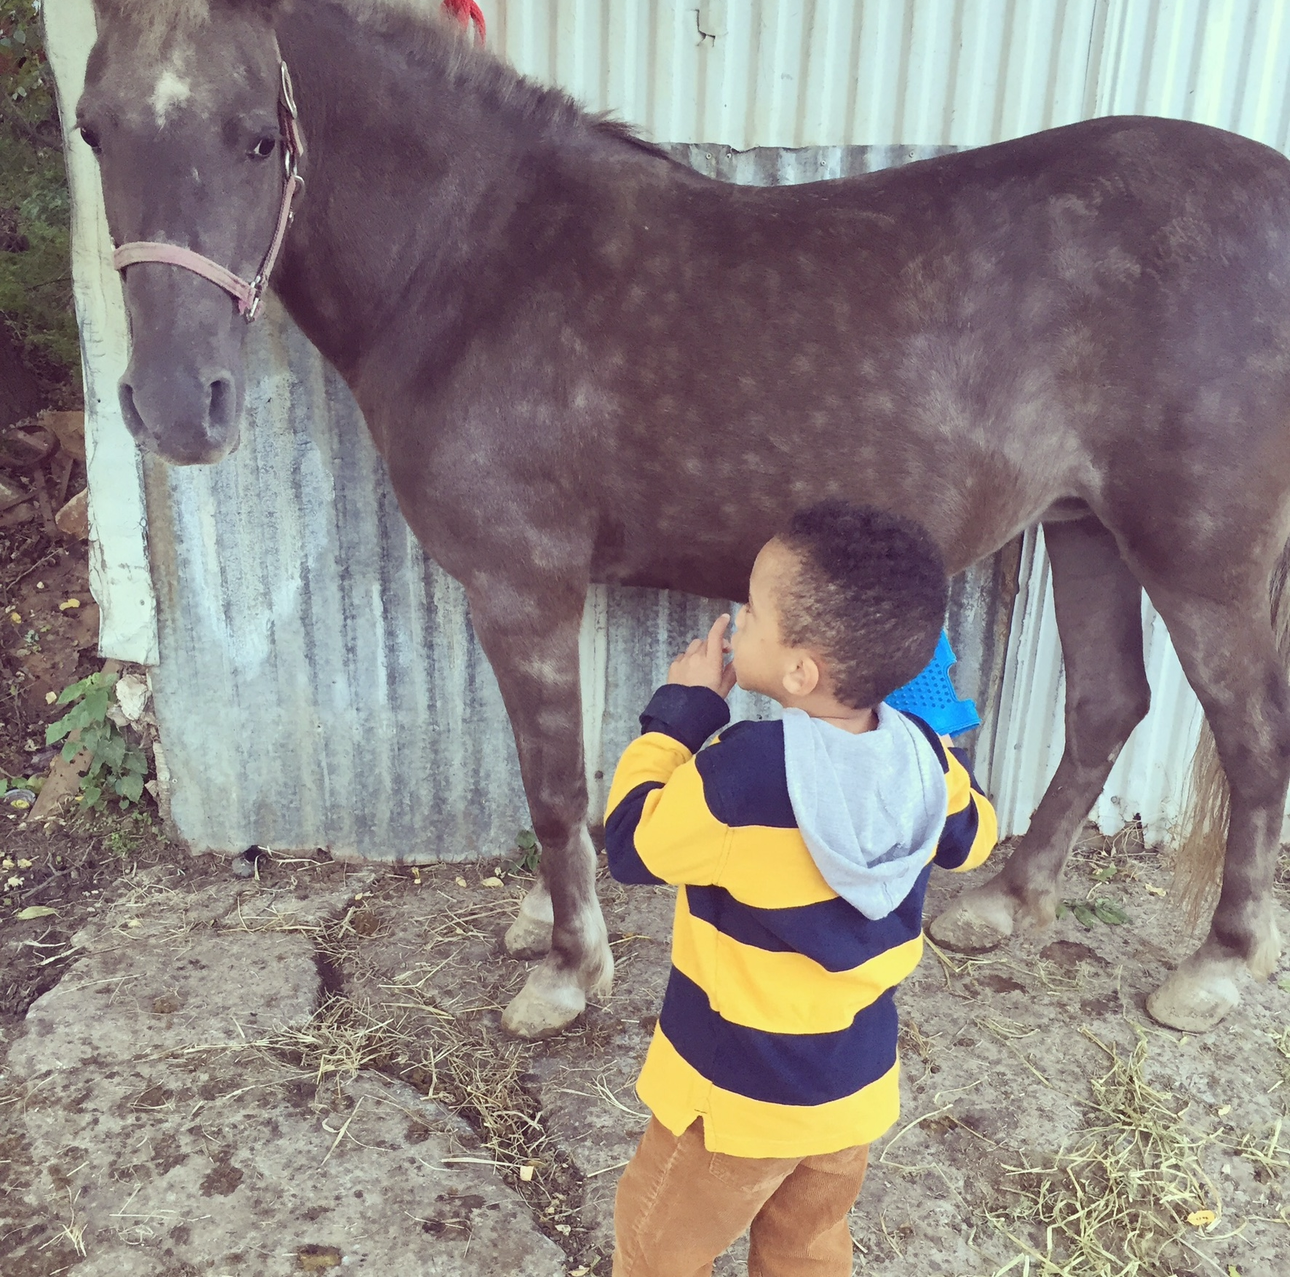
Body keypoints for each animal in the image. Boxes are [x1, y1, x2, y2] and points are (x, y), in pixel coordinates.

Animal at [76, 0, 1290, 1038]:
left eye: (255, 139)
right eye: (94, 133)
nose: (178, 408)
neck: (475, 263)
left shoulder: (520, 588)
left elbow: (551, 785)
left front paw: (567, 973)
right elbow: (572, 771)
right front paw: (549, 923)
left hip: (1200, 556)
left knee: (1253, 734)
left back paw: (1216, 967)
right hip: (1087, 526)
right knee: (1109, 701)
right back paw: (1007, 902)